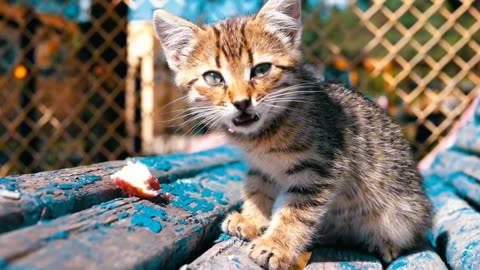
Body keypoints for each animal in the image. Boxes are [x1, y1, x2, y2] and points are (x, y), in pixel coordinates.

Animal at [153, 1, 432, 268]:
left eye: (261, 69)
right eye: (213, 77)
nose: (242, 102)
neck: (264, 136)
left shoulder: (319, 170)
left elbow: (295, 212)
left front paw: (275, 245)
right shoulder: (261, 166)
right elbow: (257, 188)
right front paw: (252, 218)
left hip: (404, 212)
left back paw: (387, 244)